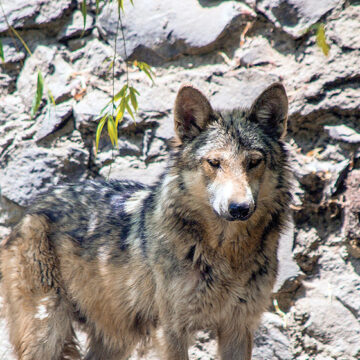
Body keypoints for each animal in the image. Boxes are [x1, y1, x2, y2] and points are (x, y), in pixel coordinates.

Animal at [0, 82, 292, 360]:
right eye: (214, 162)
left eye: (254, 162)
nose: (240, 208)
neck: (228, 254)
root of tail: (32, 208)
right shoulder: (172, 331)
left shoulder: (238, 328)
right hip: (47, 332)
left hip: (117, 340)